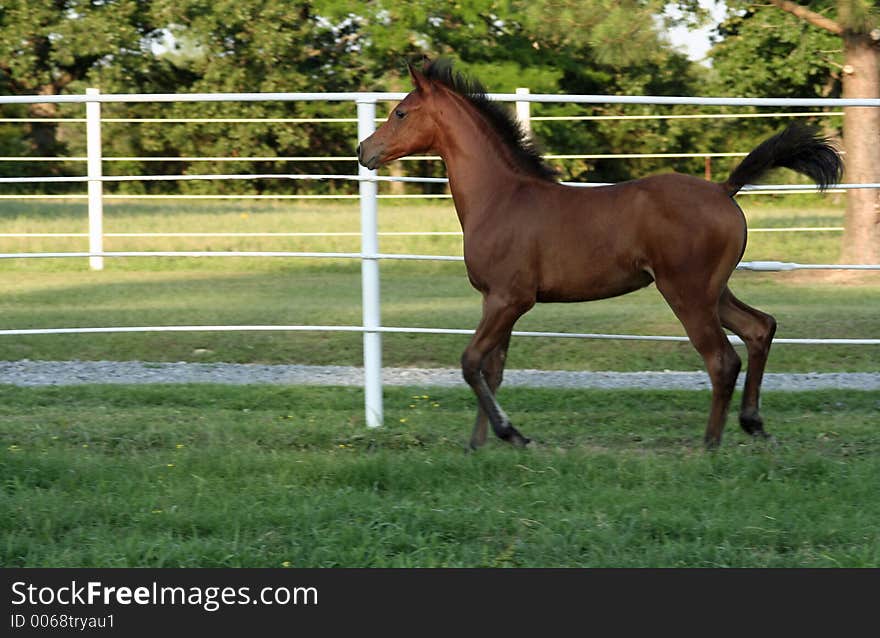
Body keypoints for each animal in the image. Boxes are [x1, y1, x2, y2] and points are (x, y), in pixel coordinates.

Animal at [358, 60, 844, 450]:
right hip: (714, 291)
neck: (500, 196)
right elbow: (491, 369)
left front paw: (509, 434)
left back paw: (710, 444)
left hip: (686, 292)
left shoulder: (508, 300)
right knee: (760, 328)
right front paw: (481, 445)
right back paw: (752, 423)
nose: (365, 150)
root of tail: (724, 189)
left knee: (722, 359)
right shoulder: (496, 300)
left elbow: (470, 362)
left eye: (400, 112)